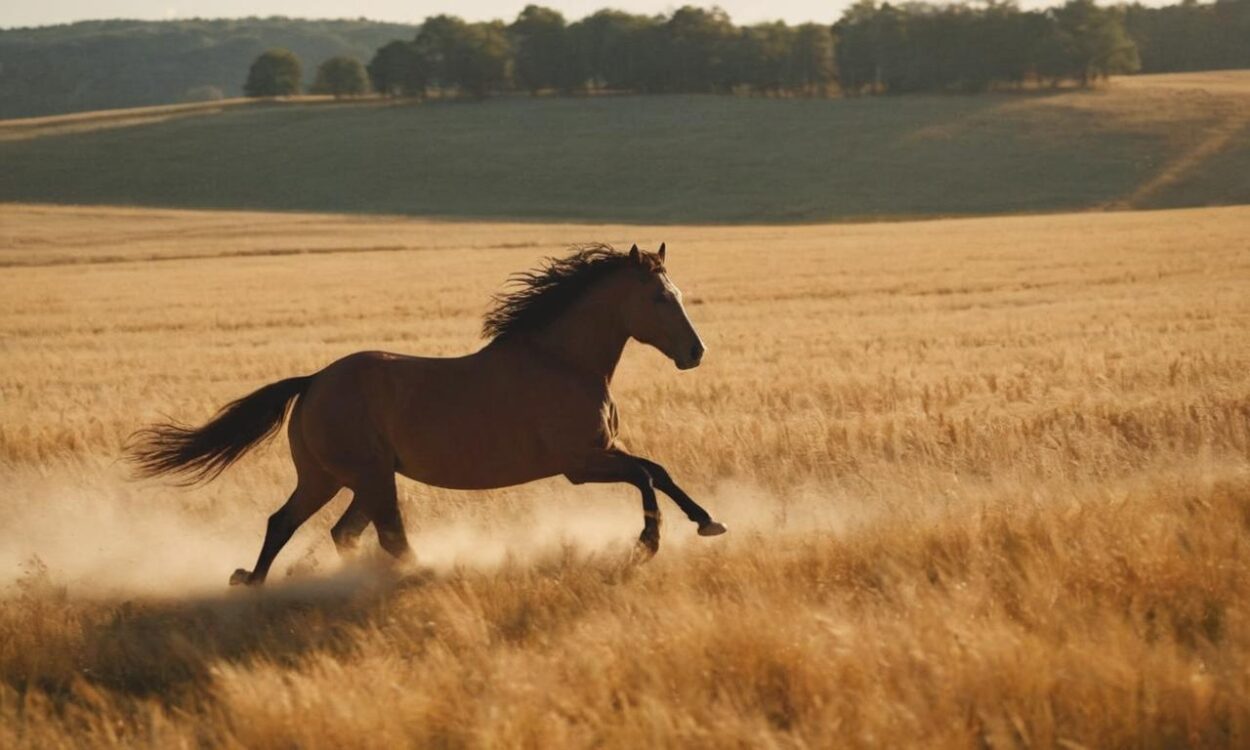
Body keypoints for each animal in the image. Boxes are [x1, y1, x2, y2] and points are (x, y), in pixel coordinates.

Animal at [121, 241, 730, 585]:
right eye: (658, 298)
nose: (695, 352)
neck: (563, 360)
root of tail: (313, 382)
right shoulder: (581, 463)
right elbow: (645, 476)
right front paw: (647, 545)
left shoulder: (599, 454)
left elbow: (658, 471)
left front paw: (708, 523)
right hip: (367, 477)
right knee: (379, 534)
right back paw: (419, 572)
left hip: (337, 479)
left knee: (301, 525)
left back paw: (254, 580)